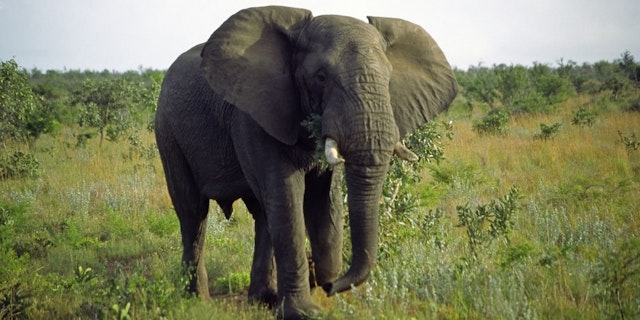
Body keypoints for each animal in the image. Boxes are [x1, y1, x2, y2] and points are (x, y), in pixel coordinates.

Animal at [154, 5, 456, 320]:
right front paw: (305, 311)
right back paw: (197, 301)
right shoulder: (252, 115)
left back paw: (263, 299)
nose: (332, 286)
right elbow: (287, 195)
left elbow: (324, 198)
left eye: (388, 79)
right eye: (321, 77)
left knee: (262, 213)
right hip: (167, 132)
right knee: (193, 212)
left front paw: (323, 284)